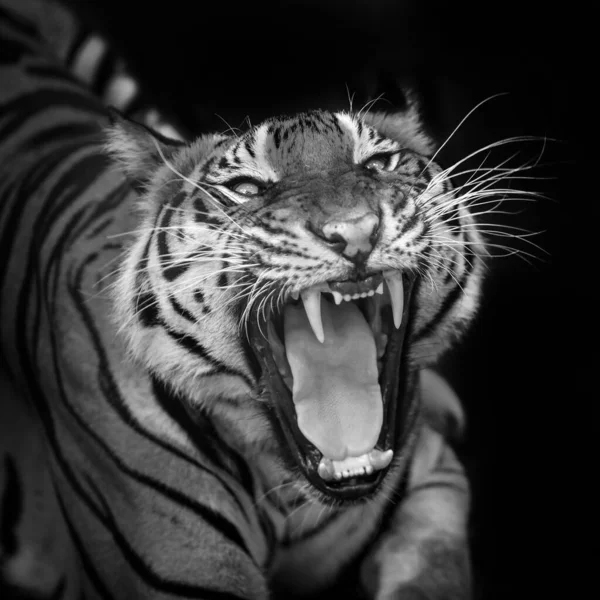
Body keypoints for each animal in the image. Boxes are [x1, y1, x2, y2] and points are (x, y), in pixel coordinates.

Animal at [0, 0, 486, 596]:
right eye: (248, 188)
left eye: (378, 164)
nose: (354, 231)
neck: (290, 491)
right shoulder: (180, 568)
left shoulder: (437, 477)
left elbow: (431, 568)